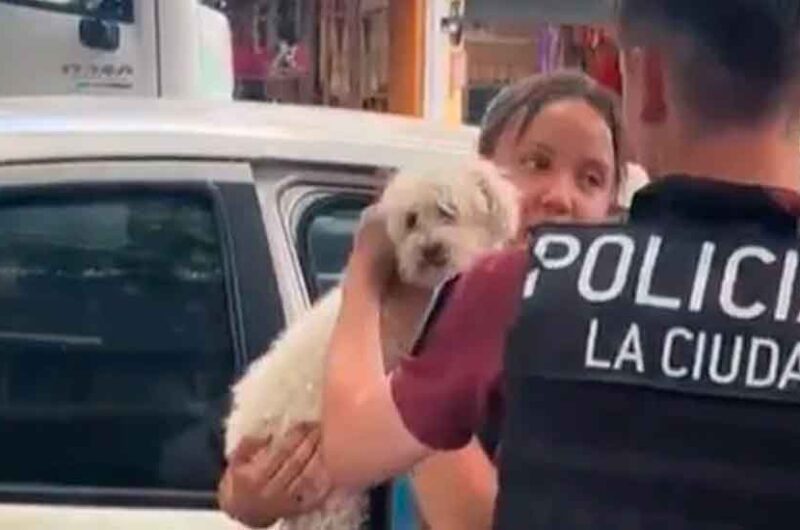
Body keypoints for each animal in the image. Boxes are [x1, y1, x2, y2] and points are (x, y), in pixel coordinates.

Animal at [223, 160, 520, 528]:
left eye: (447, 211)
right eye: (411, 220)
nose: (429, 250)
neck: (400, 292)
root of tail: (238, 432)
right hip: (327, 493)